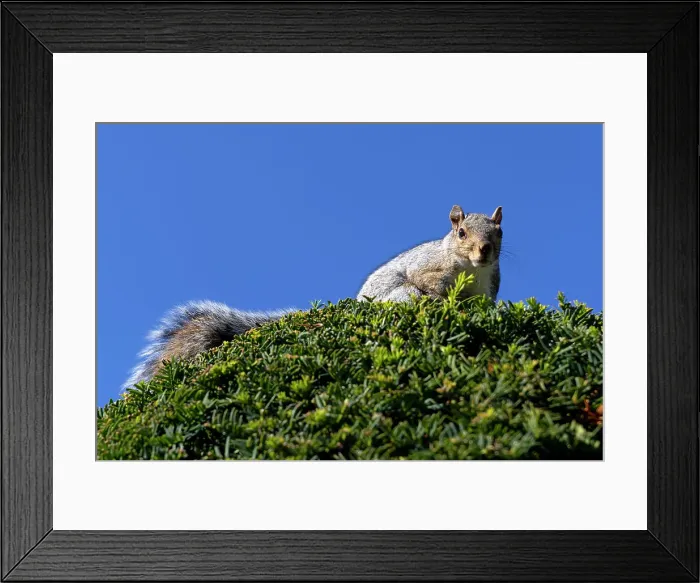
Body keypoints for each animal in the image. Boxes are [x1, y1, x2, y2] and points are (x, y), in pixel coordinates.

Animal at [123, 204, 502, 390]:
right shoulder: (427, 270)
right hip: (400, 295)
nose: (484, 251)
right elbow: (430, 286)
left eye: (499, 233)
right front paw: (439, 302)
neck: (471, 270)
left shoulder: (488, 289)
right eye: (461, 232)